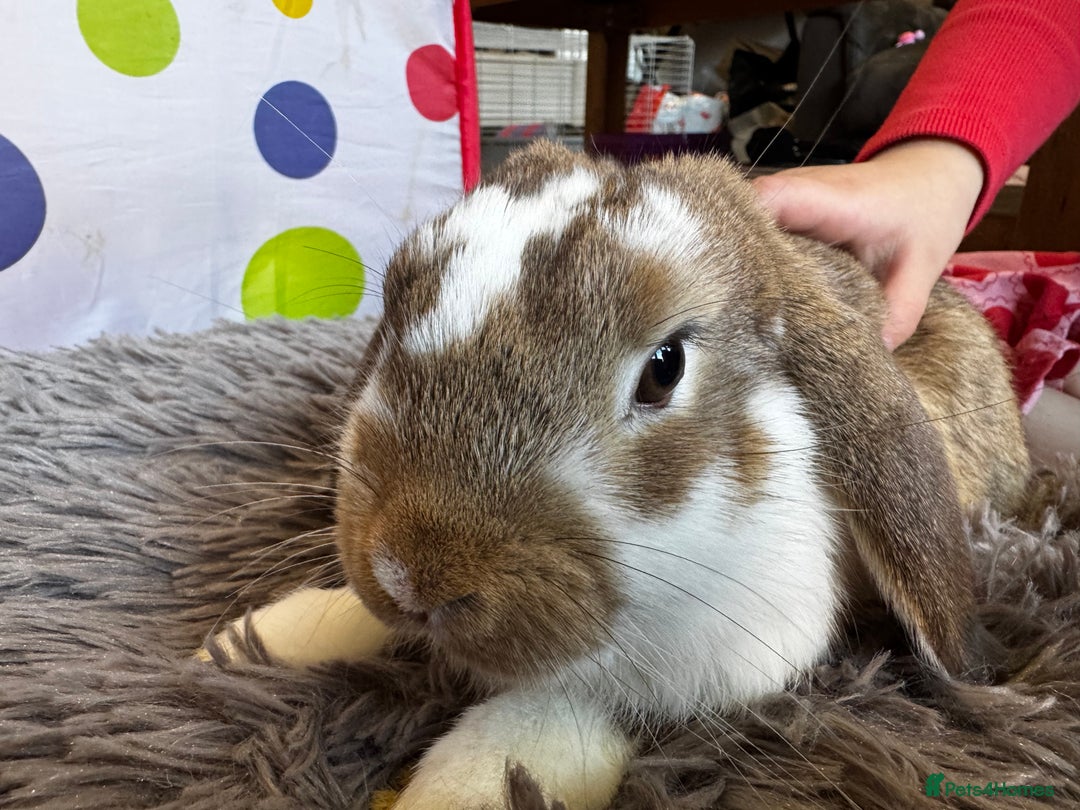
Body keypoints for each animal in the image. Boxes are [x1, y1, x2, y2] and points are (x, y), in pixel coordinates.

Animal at [200, 141, 1030, 809]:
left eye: (665, 368)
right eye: (396, 303)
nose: (411, 576)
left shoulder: (717, 663)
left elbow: (560, 711)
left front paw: (459, 787)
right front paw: (243, 642)